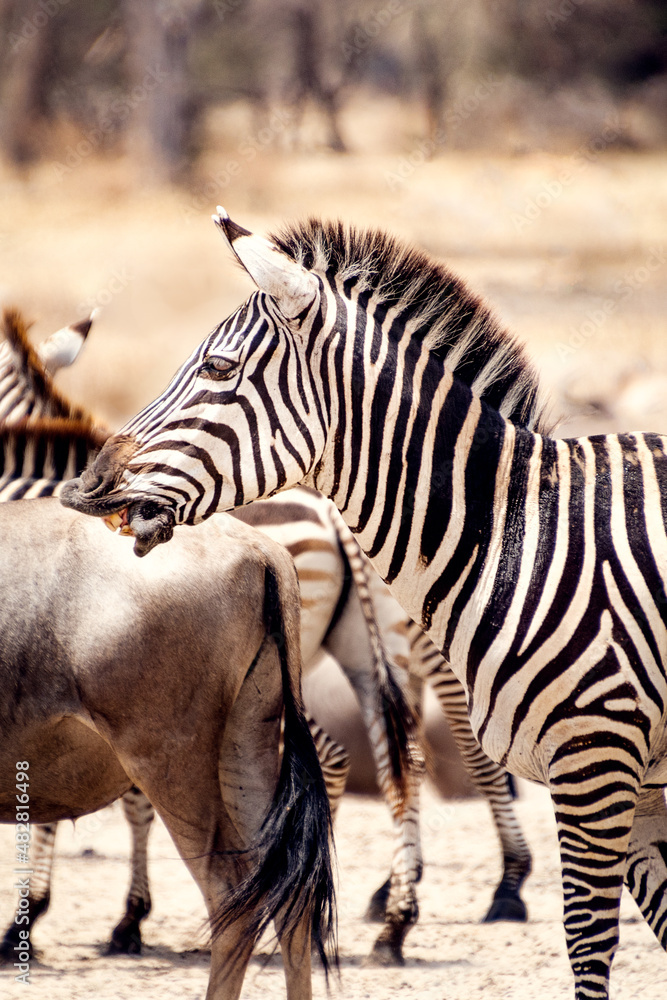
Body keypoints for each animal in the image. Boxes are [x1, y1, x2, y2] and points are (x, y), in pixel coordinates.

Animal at [62, 212, 667, 1000]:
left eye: (218, 370)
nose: (85, 486)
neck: (520, 532)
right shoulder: (637, 780)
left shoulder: (597, 757)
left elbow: (588, 942)